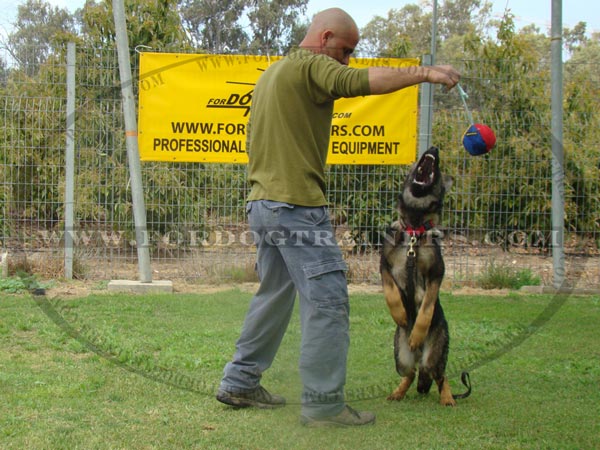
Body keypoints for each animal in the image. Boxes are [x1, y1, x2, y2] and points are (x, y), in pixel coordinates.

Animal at [382, 147, 472, 404]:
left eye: (438, 168)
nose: (433, 149)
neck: (414, 229)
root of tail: (418, 355)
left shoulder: (436, 275)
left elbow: (427, 306)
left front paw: (418, 330)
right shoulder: (384, 265)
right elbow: (390, 290)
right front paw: (400, 314)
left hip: (435, 353)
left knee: (440, 375)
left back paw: (448, 398)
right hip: (400, 355)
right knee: (410, 373)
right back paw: (398, 392)